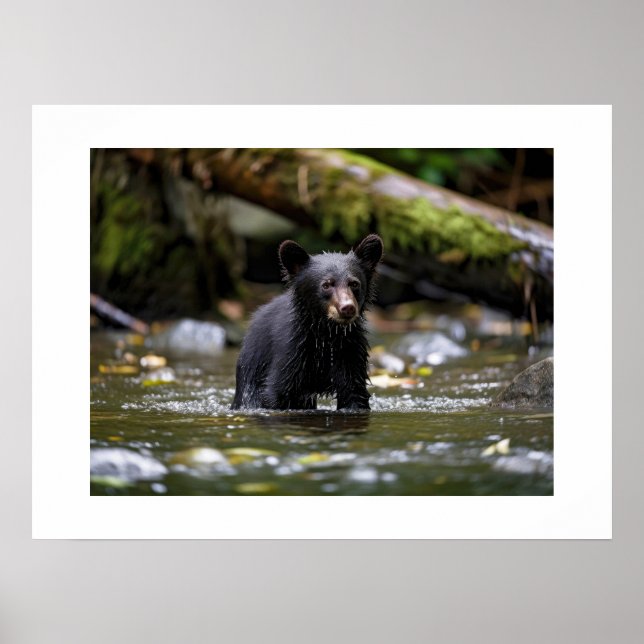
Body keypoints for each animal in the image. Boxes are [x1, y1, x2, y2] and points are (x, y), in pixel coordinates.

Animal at [231, 234, 384, 411]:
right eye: (326, 285)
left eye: (354, 283)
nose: (347, 308)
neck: (327, 333)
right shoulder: (291, 353)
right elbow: (277, 392)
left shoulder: (350, 352)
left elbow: (354, 393)